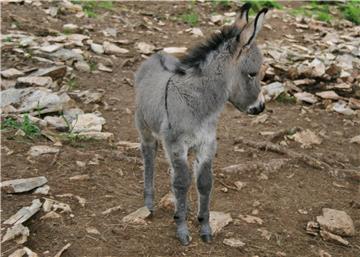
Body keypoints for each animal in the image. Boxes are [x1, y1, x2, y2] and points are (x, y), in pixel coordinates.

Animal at [134, 4, 268, 244]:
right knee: (149, 156)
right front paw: (182, 230)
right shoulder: (176, 144)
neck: (199, 105)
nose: (260, 107)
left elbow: (204, 182)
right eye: (253, 73)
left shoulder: (207, 143)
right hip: (145, 127)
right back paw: (149, 203)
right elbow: (182, 182)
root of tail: (157, 54)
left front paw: (204, 226)